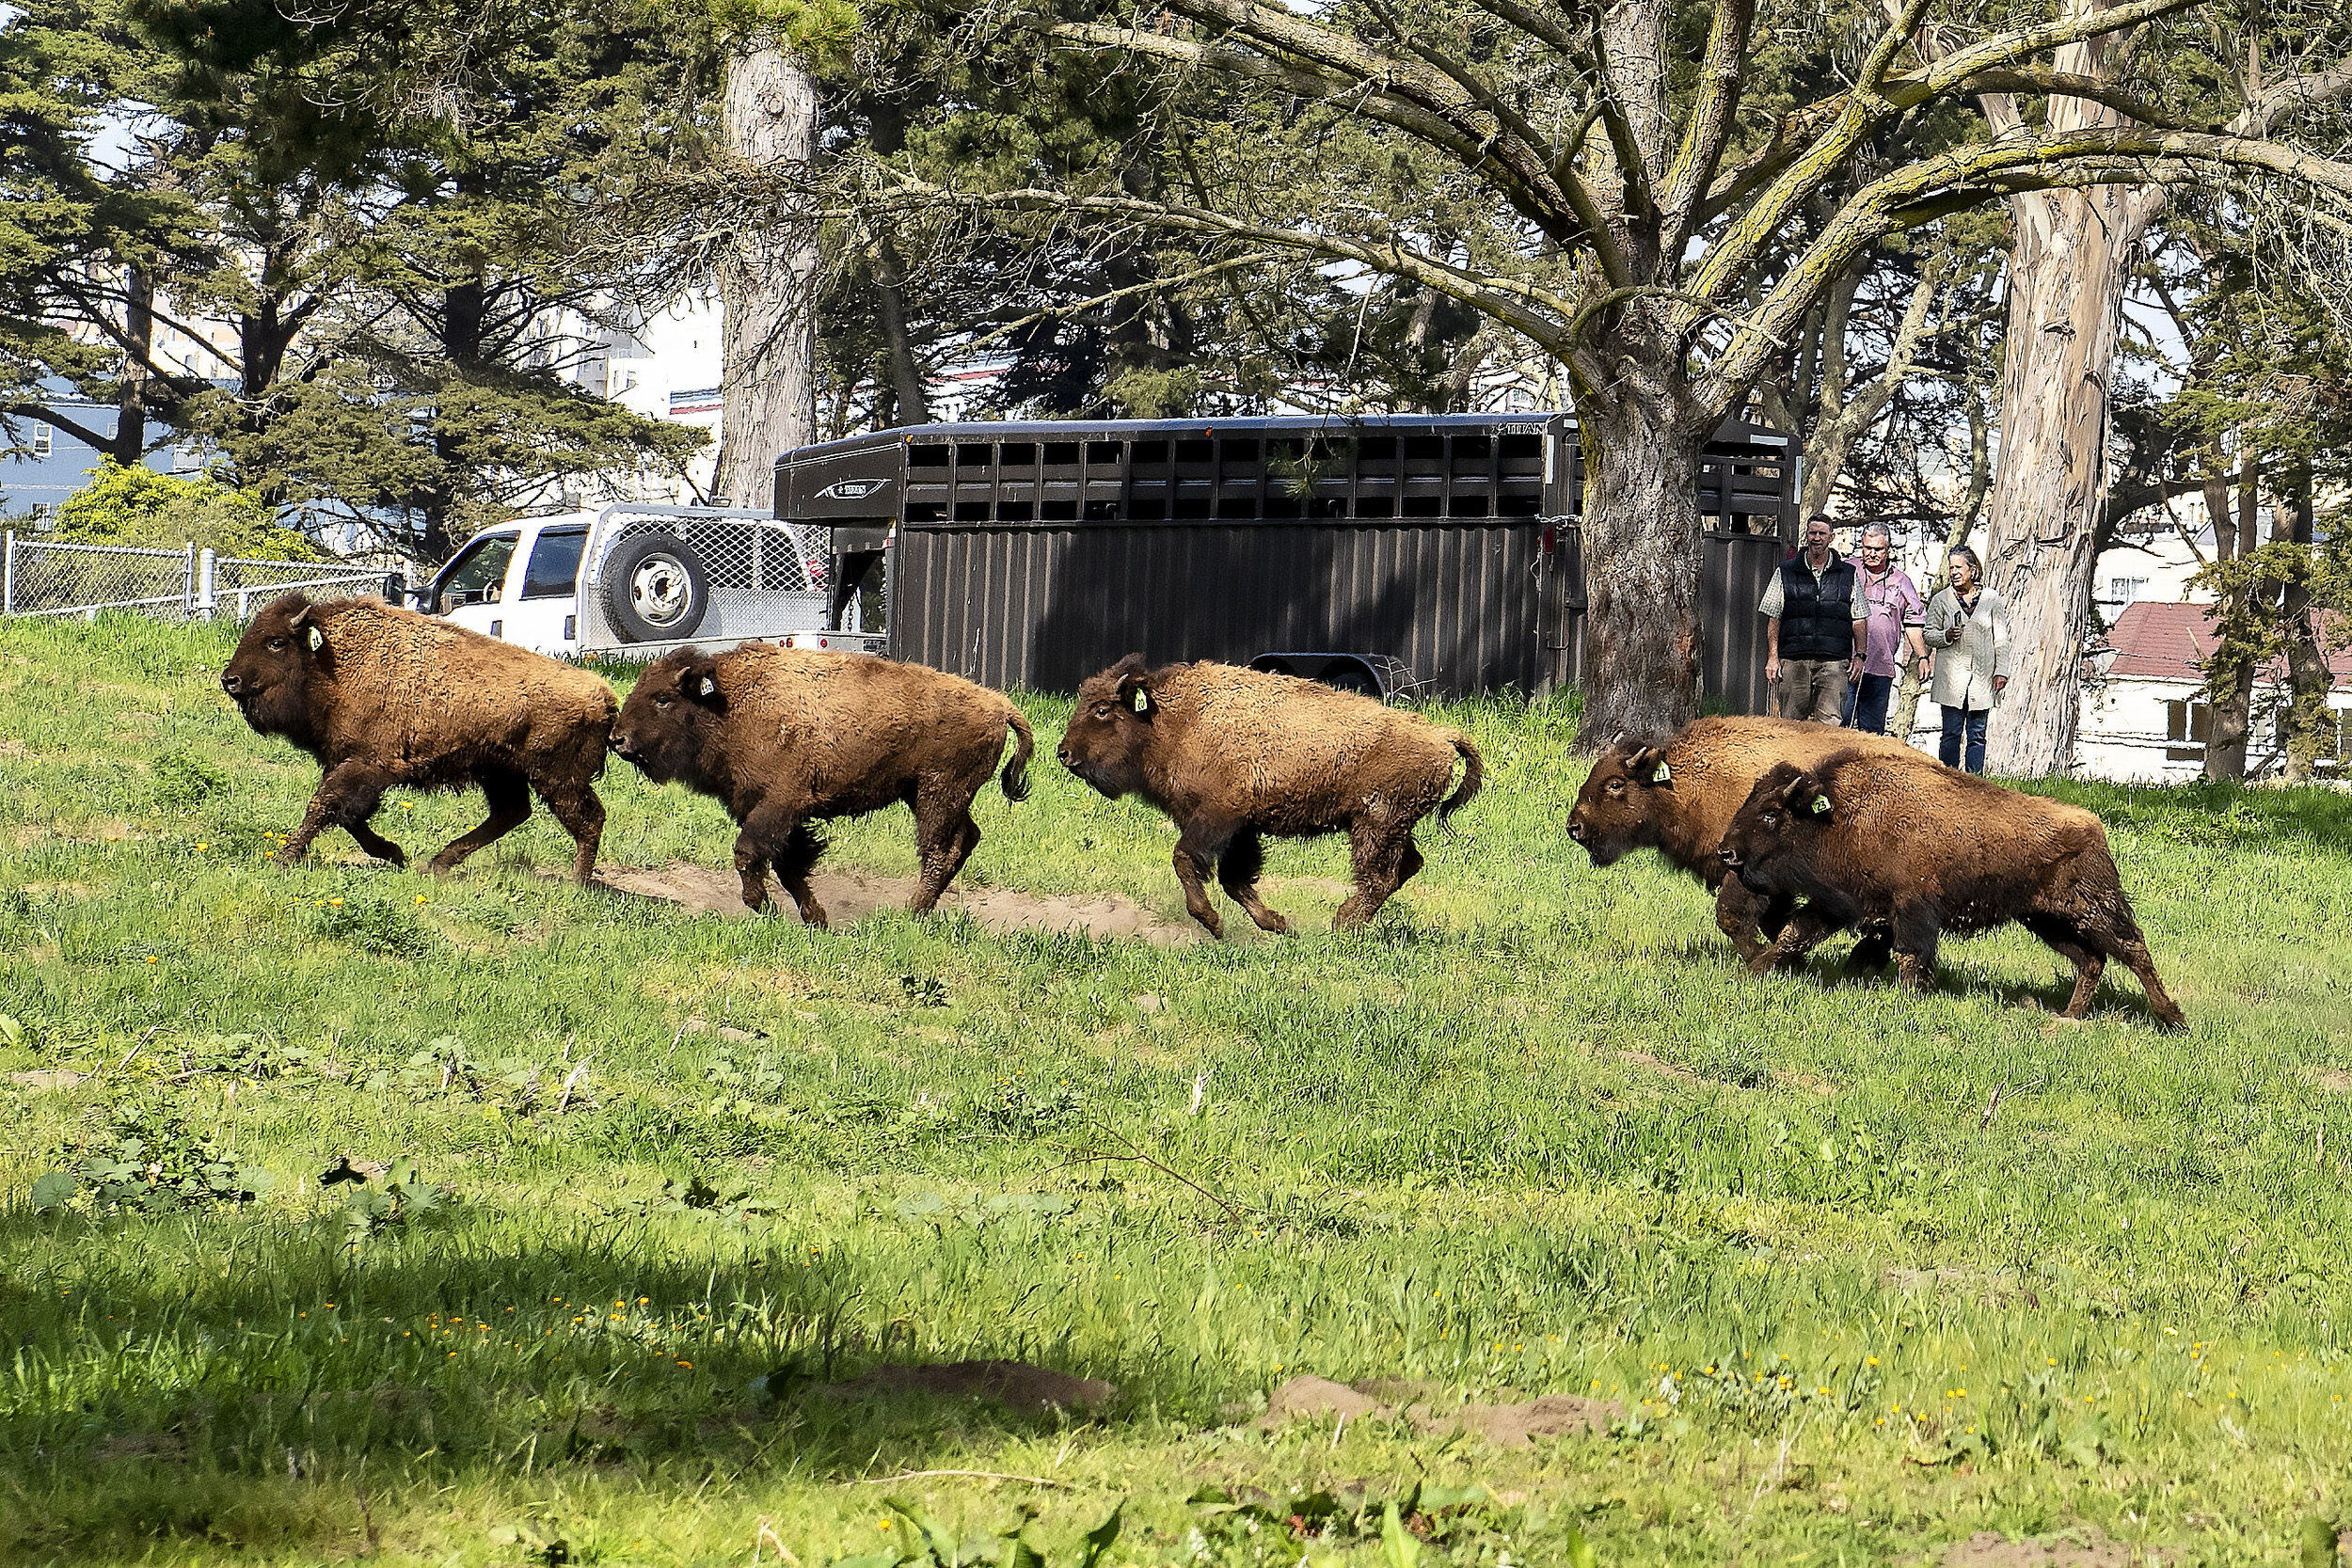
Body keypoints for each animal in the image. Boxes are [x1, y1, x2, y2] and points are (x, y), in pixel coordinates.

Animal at [221, 592, 616, 883]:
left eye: (275, 642)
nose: (230, 680)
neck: (333, 662)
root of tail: (606, 698)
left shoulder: (366, 765)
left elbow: (324, 805)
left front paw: (284, 859)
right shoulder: (350, 765)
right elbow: (349, 816)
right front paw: (395, 854)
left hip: (556, 778)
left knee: (587, 818)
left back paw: (576, 883)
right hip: (501, 771)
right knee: (512, 813)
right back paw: (439, 864)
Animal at [612, 643, 1035, 926]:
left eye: (663, 699)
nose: (618, 739)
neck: (728, 703)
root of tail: (1000, 705)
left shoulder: (780, 804)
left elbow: (749, 853)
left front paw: (762, 906)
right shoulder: (765, 810)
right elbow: (788, 866)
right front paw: (816, 919)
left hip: (938, 794)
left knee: (940, 851)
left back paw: (911, 912)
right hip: (929, 795)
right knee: (965, 839)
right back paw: (919, 909)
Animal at [1058, 657, 1477, 940]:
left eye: (1102, 710)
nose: (1064, 753)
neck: (1173, 720)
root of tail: (1444, 736)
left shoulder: (1216, 817)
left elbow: (1187, 861)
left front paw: (1213, 923)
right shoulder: (1239, 830)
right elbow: (1234, 880)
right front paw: (1279, 924)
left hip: (1376, 823)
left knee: (1380, 876)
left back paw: (1340, 924)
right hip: (1392, 826)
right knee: (1406, 866)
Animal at [1562, 719, 1910, 963]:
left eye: (1615, 784)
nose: (1574, 827)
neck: (1684, 782)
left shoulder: (1743, 870)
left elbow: (1730, 915)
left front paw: (1759, 958)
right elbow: (1774, 922)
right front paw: (1792, 962)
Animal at [1712, 747, 2183, 1029]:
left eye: (1771, 813)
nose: (1726, 853)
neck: (1838, 815)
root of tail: (2093, 826)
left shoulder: (1912, 911)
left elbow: (1909, 956)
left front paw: (1906, 998)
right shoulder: (1837, 904)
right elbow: (1795, 934)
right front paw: (1750, 971)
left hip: (2093, 909)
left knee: (2134, 950)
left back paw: (2173, 1019)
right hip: (2046, 920)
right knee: (2092, 960)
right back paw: (2069, 1015)